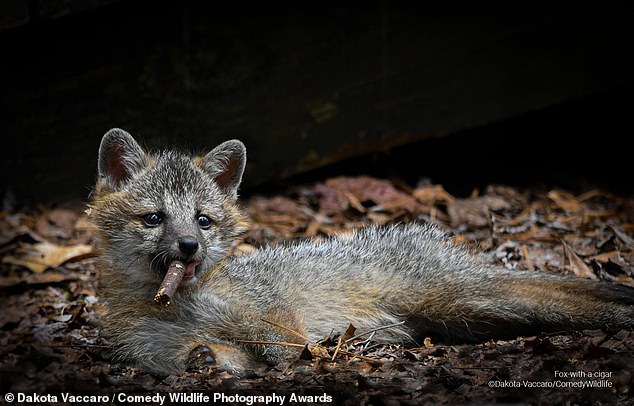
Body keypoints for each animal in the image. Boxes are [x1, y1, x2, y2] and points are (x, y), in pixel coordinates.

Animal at [90, 128, 632, 376]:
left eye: (203, 220)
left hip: (469, 301)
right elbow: (211, 356)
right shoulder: (164, 350)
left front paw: (303, 358)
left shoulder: (274, 318)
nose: (189, 245)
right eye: (154, 218)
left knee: (570, 301)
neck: (183, 304)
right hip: (462, 314)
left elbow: (283, 345)